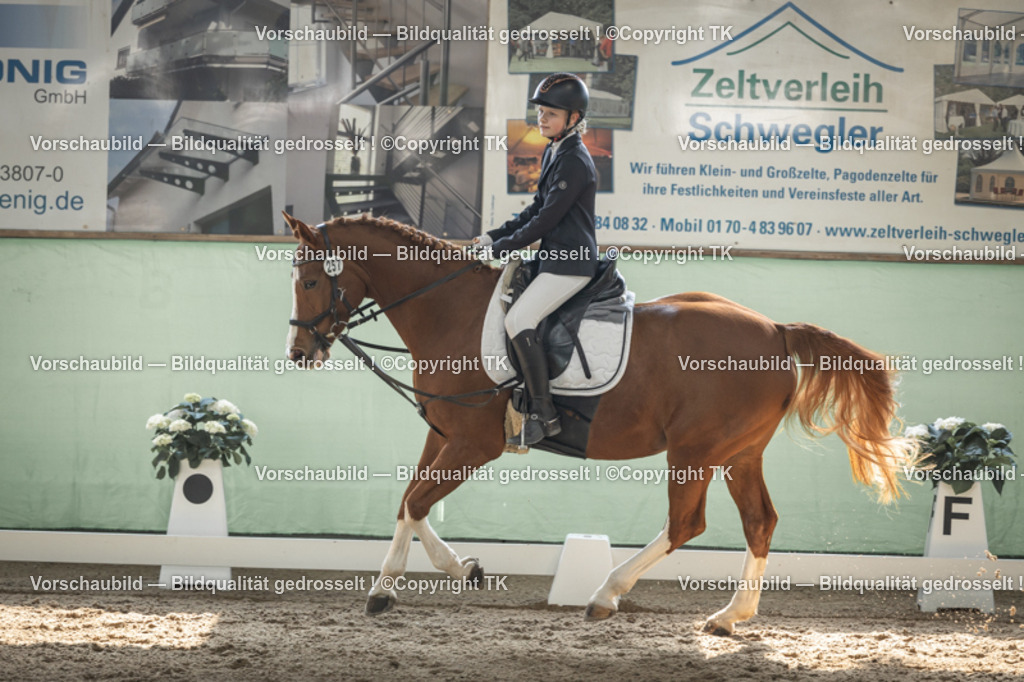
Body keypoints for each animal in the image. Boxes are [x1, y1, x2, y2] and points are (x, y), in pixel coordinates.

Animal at [282, 212, 919, 635]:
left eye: (310, 280)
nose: (298, 353)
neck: (451, 313)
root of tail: (776, 332)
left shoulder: (474, 442)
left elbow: (417, 501)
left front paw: (434, 576)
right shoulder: (440, 434)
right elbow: (408, 503)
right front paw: (421, 578)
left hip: (694, 451)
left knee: (686, 523)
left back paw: (607, 594)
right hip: (740, 453)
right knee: (759, 521)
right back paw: (729, 616)